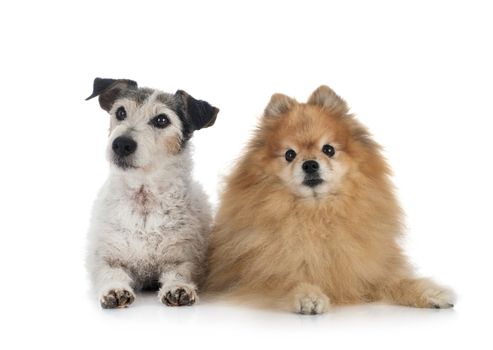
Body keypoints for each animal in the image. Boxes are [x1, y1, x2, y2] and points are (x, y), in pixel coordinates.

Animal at [84, 78, 217, 308]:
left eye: (161, 120)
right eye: (120, 112)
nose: (122, 144)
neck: (143, 200)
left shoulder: (182, 257)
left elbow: (180, 272)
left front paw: (177, 288)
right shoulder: (107, 258)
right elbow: (111, 273)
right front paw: (115, 290)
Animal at [206, 85, 456, 314]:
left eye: (328, 150)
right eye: (289, 154)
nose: (309, 164)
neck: (318, 212)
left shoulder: (367, 271)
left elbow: (398, 281)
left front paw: (431, 292)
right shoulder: (259, 277)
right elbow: (289, 282)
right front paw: (308, 295)